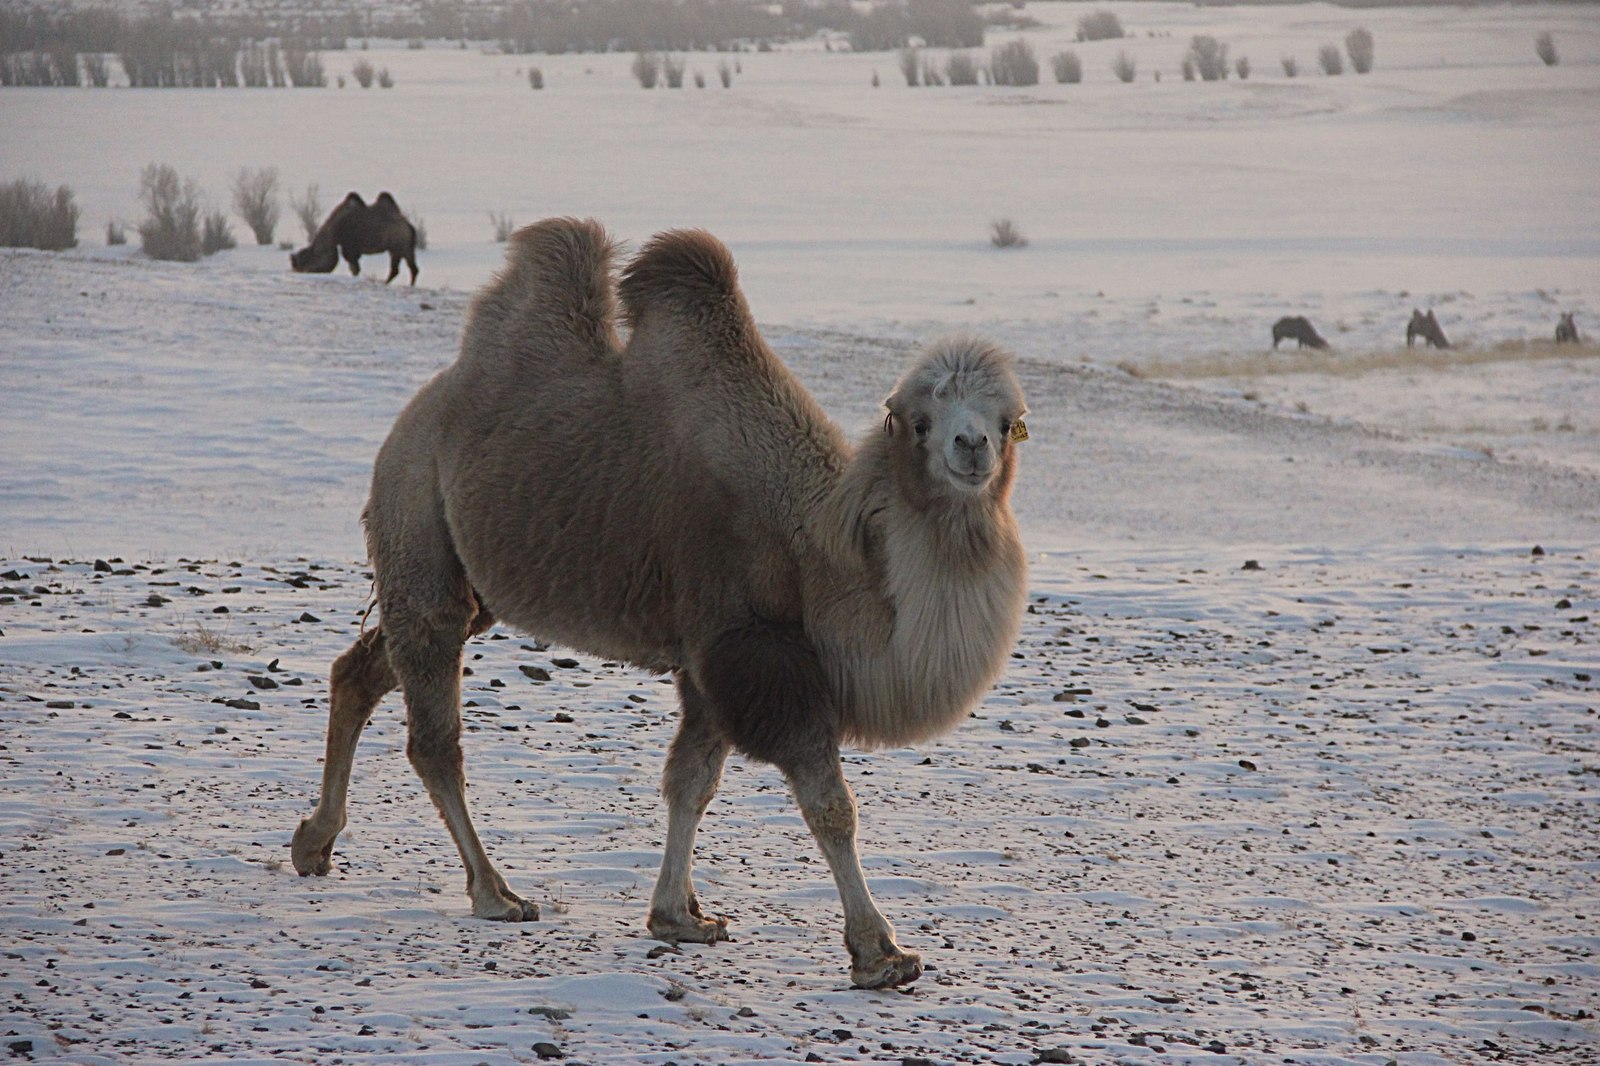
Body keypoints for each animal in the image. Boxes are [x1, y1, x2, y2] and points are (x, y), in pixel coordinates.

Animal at [291, 189, 419, 281]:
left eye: (305, 259)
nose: (298, 270)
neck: (334, 230)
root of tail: (410, 227)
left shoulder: (349, 248)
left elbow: (355, 269)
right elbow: (355, 268)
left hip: (399, 245)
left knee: (401, 269)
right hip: (403, 248)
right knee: (409, 269)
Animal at [292, 217, 1030, 985]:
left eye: (1011, 420)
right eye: (919, 421)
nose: (971, 445)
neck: (819, 551)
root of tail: (417, 412)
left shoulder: (711, 659)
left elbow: (691, 781)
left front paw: (679, 917)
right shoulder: (755, 648)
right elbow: (829, 804)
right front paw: (880, 951)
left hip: (471, 580)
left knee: (363, 668)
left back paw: (314, 843)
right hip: (415, 513)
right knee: (434, 731)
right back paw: (495, 893)